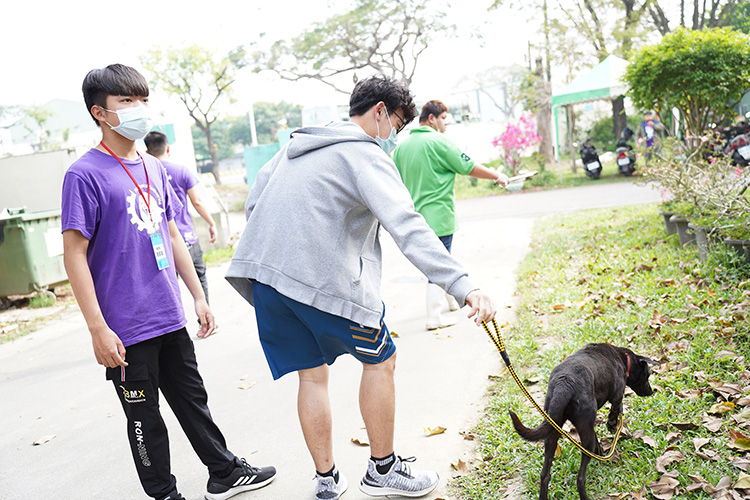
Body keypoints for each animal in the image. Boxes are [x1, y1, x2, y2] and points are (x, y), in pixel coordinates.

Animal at [512, 344, 652, 500]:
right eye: (648, 375)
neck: (623, 359)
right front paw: (611, 425)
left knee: (544, 475)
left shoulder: (588, 425)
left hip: (553, 431)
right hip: (582, 433)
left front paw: (601, 453)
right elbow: (615, 409)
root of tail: (564, 384)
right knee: (580, 478)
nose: (651, 391)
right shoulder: (617, 395)